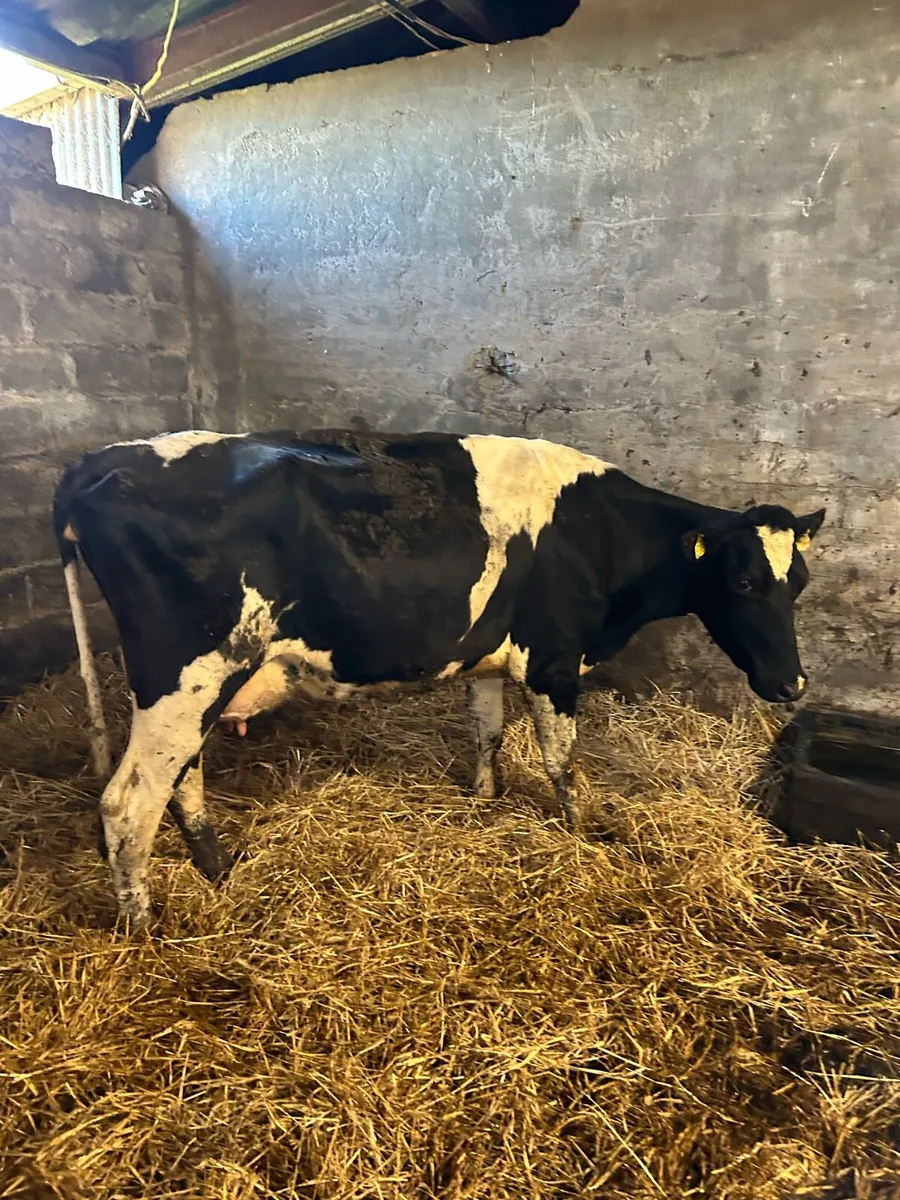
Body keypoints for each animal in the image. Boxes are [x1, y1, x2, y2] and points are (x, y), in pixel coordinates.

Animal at [53, 428, 825, 928]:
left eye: (800, 582)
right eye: (745, 582)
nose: (792, 686)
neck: (597, 533)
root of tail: (97, 461)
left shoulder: (490, 656)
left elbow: (487, 730)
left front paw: (483, 799)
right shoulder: (552, 661)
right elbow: (563, 762)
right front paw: (582, 835)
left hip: (197, 685)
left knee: (180, 777)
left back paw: (216, 866)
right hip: (186, 674)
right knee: (127, 802)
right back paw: (145, 929)